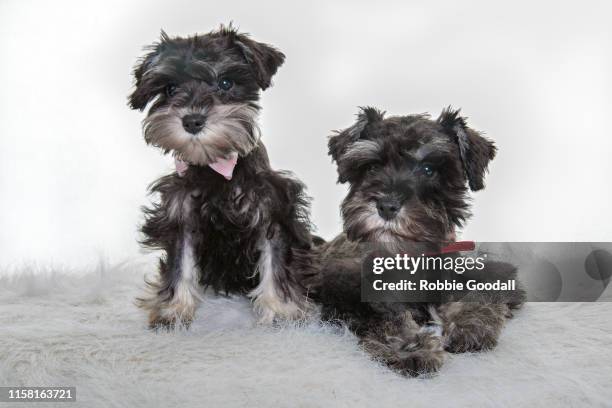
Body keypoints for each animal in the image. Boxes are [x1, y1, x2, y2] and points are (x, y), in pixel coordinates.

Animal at [126, 25, 314, 328]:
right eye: (170, 88)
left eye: (225, 83)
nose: (192, 121)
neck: (214, 167)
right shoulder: (180, 216)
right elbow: (180, 263)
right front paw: (173, 310)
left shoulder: (272, 210)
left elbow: (274, 262)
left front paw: (281, 311)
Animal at [296, 106, 524, 376]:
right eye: (371, 168)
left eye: (428, 169)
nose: (387, 206)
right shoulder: (347, 285)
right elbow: (388, 314)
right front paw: (410, 347)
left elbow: (475, 291)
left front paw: (471, 324)